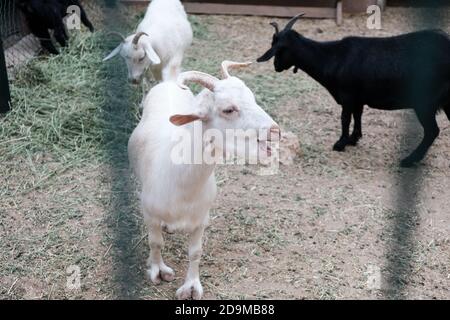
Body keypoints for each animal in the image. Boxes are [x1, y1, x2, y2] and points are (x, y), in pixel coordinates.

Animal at [256, 15, 450, 168]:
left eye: (278, 49)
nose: (276, 66)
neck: (331, 57)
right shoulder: (358, 98)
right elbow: (357, 116)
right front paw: (354, 139)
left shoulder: (347, 96)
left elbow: (345, 119)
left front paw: (340, 144)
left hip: (425, 103)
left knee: (432, 131)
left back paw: (409, 160)